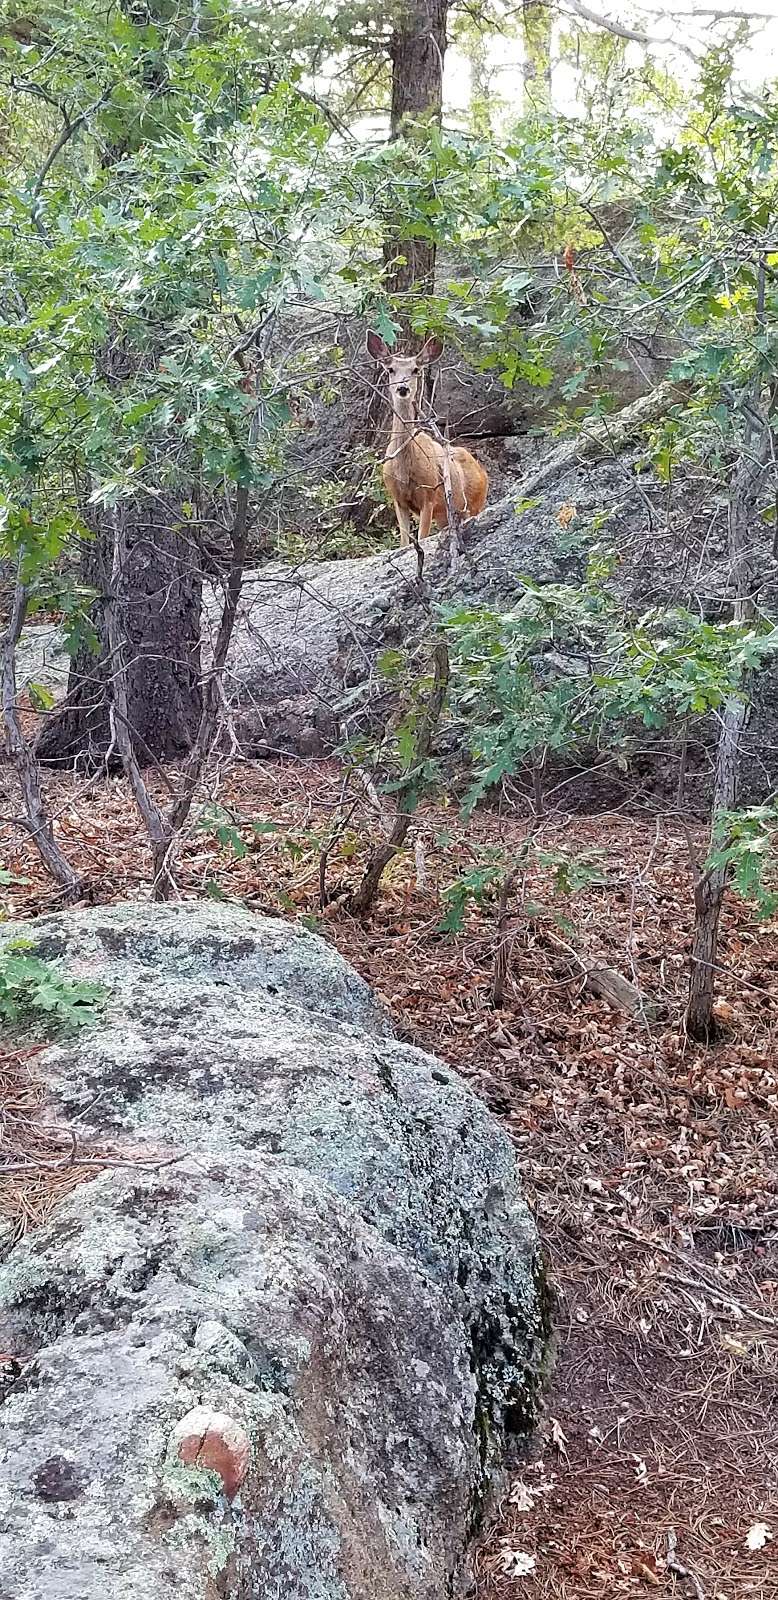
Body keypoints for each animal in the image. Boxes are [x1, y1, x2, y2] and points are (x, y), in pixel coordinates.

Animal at [368, 331, 489, 550]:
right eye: (391, 370)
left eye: (416, 370)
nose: (403, 388)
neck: (404, 469)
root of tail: (482, 471)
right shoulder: (398, 498)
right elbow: (404, 542)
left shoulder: (429, 495)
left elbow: (422, 538)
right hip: (446, 514)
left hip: (475, 502)